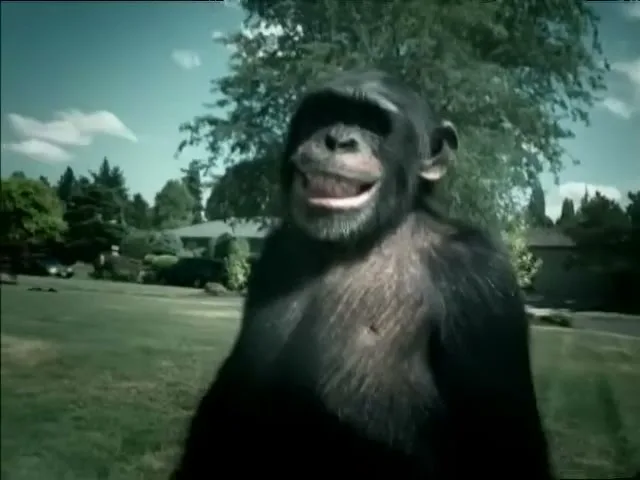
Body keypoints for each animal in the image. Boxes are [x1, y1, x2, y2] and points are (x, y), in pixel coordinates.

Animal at [171, 69, 553, 479]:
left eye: (373, 122)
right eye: (325, 112)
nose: (338, 139)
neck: (366, 237)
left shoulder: (481, 282)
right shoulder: (278, 249)